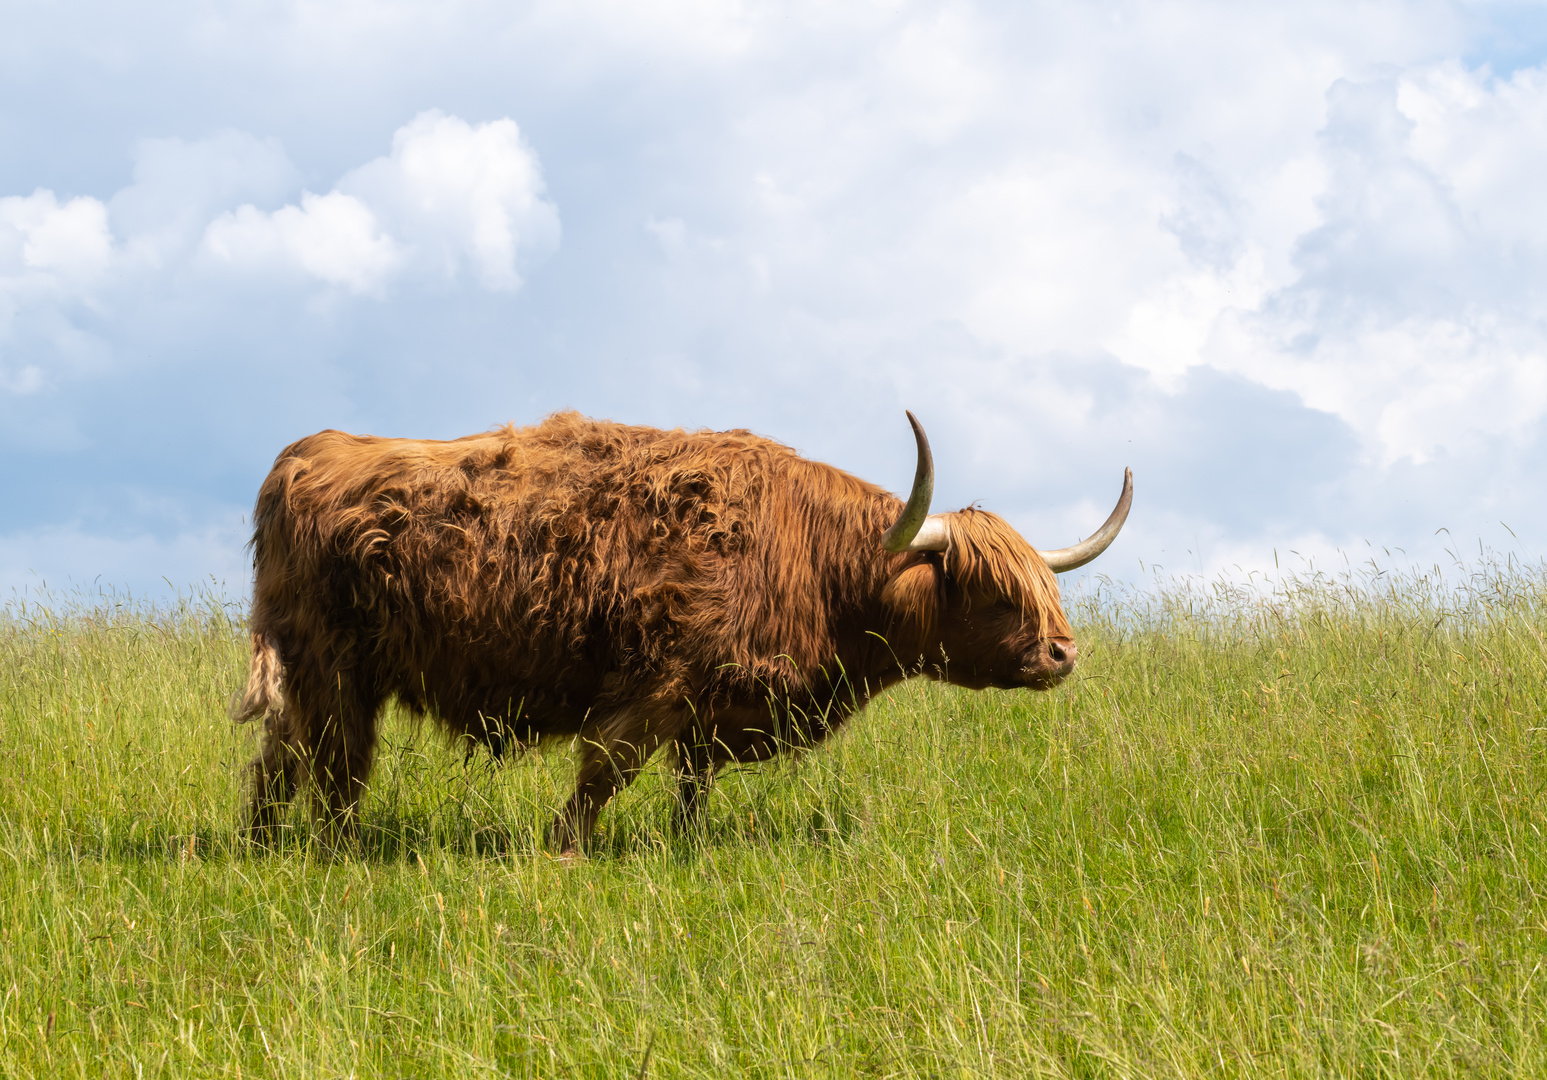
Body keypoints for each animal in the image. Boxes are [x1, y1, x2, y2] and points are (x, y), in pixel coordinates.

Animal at [228, 411, 1132, 847]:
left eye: (1046, 588)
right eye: (992, 591)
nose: (1063, 652)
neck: (811, 558)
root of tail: (305, 454)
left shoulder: (715, 708)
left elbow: (690, 788)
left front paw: (683, 844)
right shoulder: (658, 686)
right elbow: (602, 776)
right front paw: (564, 848)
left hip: (313, 671)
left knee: (281, 762)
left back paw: (263, 848)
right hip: (333, 667)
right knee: (333, 769)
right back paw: (336, 852)